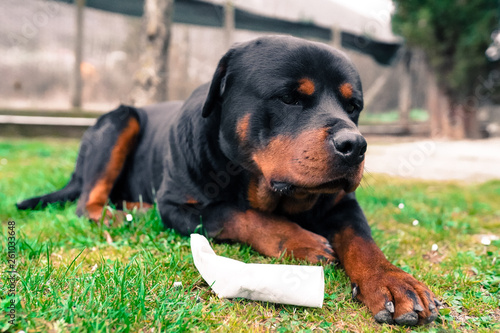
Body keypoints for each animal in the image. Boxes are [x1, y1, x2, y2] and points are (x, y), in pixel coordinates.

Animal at [16, 35, 438, 324]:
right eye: (289, 98)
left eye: (354, 107)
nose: (356, 144)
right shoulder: (179, 206)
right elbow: (234, 213)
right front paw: (299, 240)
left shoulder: (342, 203)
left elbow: (362, 239)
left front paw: (393, 281)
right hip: (121, 120)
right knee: (85, 203)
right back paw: (120, 214)